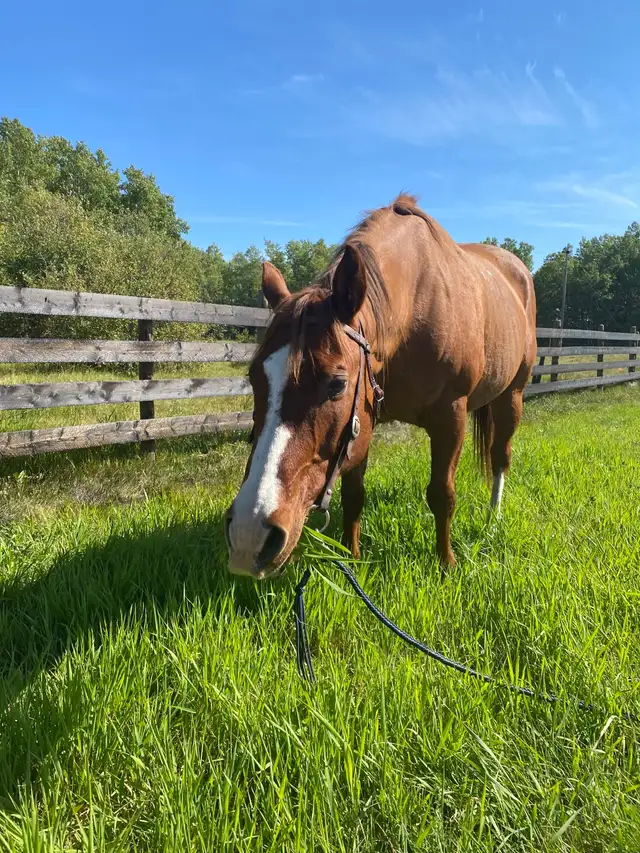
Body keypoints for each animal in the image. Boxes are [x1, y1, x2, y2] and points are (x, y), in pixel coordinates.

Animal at [225, 194, 536, 579]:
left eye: (337, 384)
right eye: (254, 377)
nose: (249, 535)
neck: (415, 307)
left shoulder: (451, 417)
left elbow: (442, 494)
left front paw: (445, 563)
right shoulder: (364, 421)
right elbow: (354, 496)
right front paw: (352, 556)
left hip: (512, 396)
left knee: (500, 457)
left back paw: (493, 519)